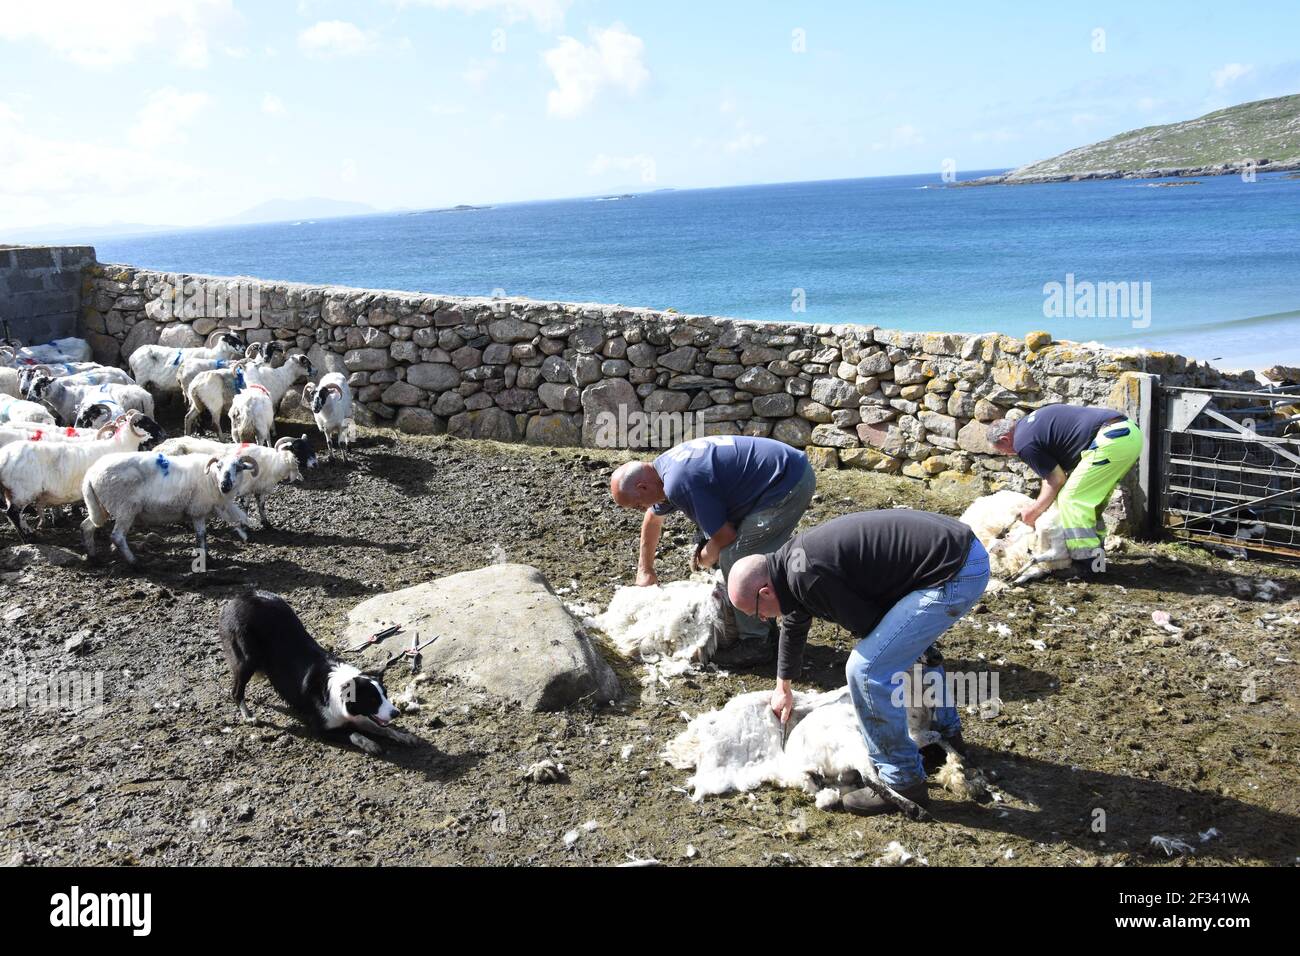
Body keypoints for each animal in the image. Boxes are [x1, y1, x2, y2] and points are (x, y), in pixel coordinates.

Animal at [0, 408, 165, 538]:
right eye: (145, 422)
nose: (163, 434)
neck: (120, 445)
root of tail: (5, 456)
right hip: (23, 491)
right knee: (13, 513)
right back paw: (28, 537)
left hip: (11, 491)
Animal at [79, 450, 257, 564]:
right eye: (219, 466)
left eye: (238, 468)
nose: (225, 484)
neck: (211, 479)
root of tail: (90, 474)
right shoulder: (197, 510)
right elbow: (201, 535)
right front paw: (205, 556)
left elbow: (201, 536)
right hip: (126, 508)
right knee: (117, 536)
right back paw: (134, 562)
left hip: (101, 507)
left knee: (87, 526)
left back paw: (93, 556)